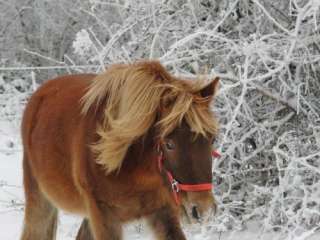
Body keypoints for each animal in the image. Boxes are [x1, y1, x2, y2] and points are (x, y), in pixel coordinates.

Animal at [20, 61, 220, 239]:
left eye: (212, 139)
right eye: (169, 144)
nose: (203, 209)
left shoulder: (163, 211)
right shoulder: (104, 216)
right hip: (40, 200)